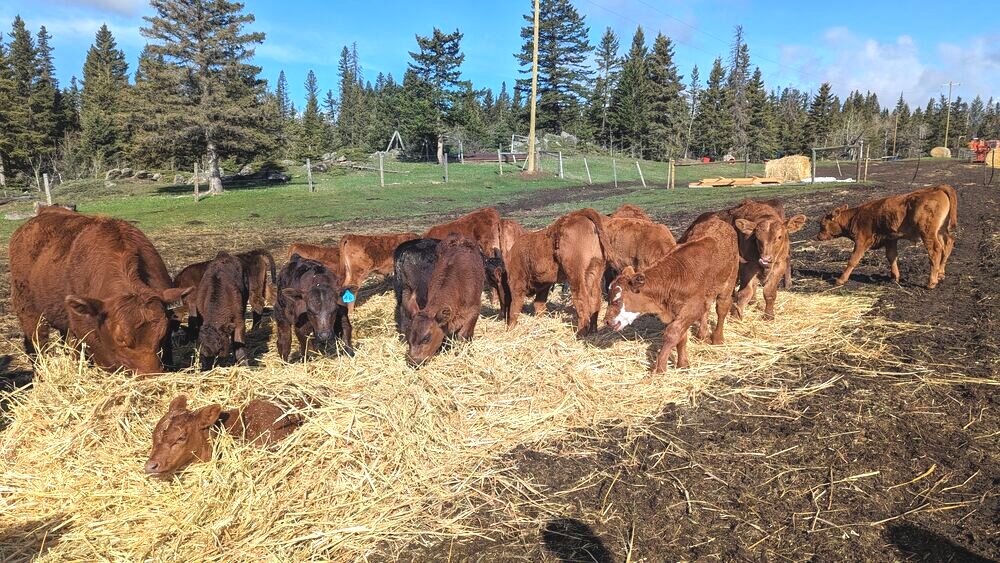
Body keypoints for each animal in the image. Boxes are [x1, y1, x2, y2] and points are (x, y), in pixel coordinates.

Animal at [9, 207, 190, 374]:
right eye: (120, 339)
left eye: (161, 334)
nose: (151, 375)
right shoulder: (84, 333)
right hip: (28, 311)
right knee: (37, 343)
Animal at [605, 215, 739, 372]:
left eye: (617, 300)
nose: (606, 321)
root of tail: (719, 221)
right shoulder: (678, 311)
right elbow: (682, 337)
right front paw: (683, 363)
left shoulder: (693, 307)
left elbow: (672, 333)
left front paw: (659, 368)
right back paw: (702, 335)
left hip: (729, 280)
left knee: (722, 308)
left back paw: (717, 339)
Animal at [817, 185, 958, 289]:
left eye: (822, 224)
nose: (818, 236)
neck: (855, 217)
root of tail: (936, 188)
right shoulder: (890, 239)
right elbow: (892, 257)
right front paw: (895, 277)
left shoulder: (862, 241)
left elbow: (853, 260)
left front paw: (840, 280)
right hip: (940, 231)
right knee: (948, 244)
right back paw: (940, 274)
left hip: (928, 233)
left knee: (935, 251)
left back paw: (931, 282)